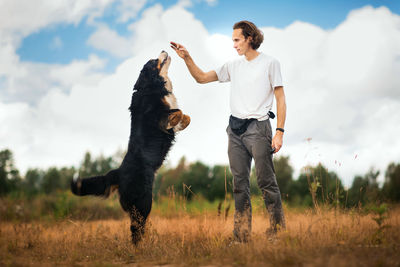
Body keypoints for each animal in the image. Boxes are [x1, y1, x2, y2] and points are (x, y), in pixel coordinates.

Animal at [71, 51, 190, 246]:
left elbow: (184, 115)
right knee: (136, 230)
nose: (163, 50)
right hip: (143, 203)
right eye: (153, 61)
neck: (152, 86)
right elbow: (175, 113)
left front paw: (183, 122)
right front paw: (174, 120)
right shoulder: (155, 114)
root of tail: (118, 173)